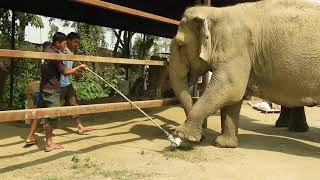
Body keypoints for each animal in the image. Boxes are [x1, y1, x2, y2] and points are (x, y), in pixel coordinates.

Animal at [170, 0, 320, 148]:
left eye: (180, 45)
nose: (202, 137)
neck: (216, 11)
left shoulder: (236, 47)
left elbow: (230, 88)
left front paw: (182, 135)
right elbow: (234, 96)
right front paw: (224, 143)